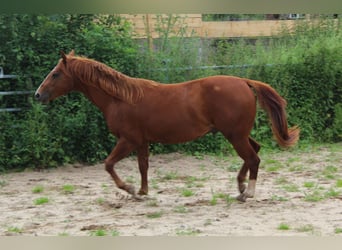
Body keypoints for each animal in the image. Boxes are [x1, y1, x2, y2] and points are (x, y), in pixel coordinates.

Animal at [35, 50, 300, 201]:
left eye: (56, 74)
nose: (38, 95)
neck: (120, 98)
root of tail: (244, 81)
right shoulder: (141, 141)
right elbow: (143, 166)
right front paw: (142, 192)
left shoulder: (128, 140)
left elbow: (109, 164)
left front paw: (129, 189)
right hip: (238, 134)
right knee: (255, 151)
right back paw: (241, 187)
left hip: (234, 135)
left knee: (253, 158)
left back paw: (249, 193)